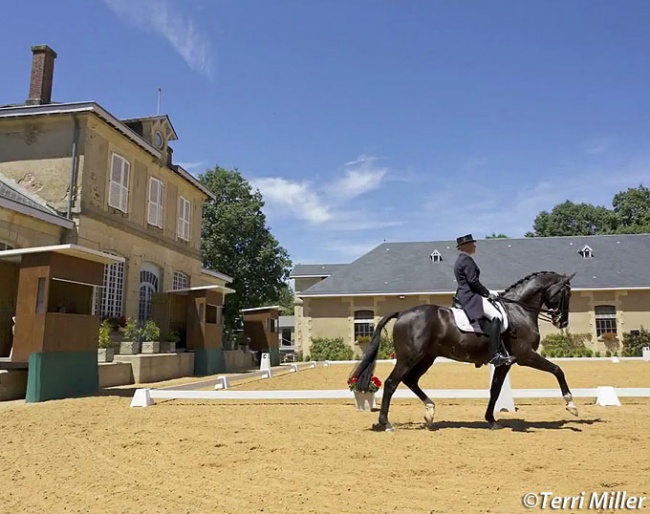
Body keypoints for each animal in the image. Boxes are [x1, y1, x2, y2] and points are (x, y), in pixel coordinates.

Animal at [352, 270, 576, 430]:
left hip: (426, 358)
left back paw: (429, 412)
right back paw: (386, 423)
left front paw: (491, 420)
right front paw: (571, 405)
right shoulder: (525, 356)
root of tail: (402, 313)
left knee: (410, 380)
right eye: (566, 293)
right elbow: (557, 370)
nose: (563, 322)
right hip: (409, 358)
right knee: (391, 383)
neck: (518, 311)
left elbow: (495, 390)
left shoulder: (505, 363)